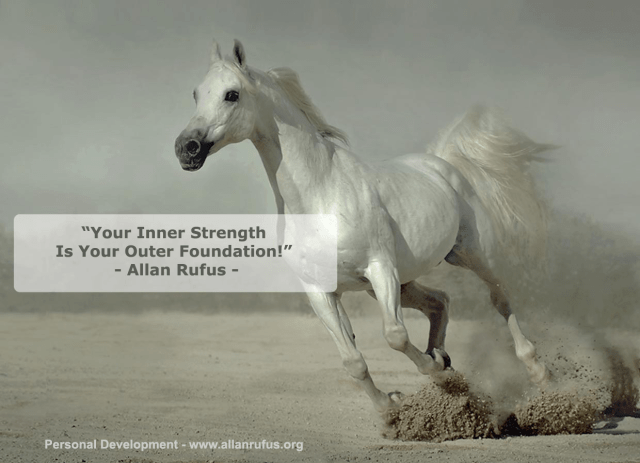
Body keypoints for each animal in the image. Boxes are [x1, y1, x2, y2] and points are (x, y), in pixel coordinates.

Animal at [174, 39, 551, 413]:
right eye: (196, 93)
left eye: (232, 94)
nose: (186, 148)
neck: (321, 197)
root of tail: (440, 164)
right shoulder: (321, 291)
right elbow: (352, 361)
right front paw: (392, 407)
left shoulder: (380, 268)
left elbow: (395, 336)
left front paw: (433, 372)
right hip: (400, 281)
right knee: (440, 302)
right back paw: (444, 362)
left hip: (469, 254)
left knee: (499, 297)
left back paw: (537, 371)